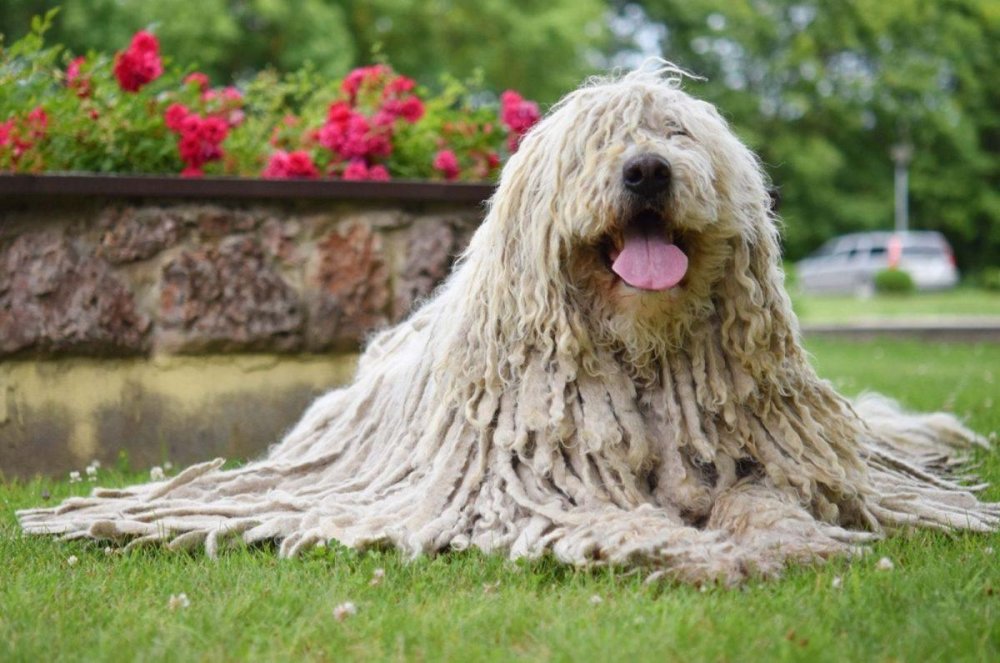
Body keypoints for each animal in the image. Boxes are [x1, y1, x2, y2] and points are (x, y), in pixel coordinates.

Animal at [19, 65, 996, 584]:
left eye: (677, 133)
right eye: (596, 148)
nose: (646, 169)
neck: (641, 352)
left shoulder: (751, 455)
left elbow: (765, 495)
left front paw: (783, 538)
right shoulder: (534, 487)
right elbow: (622, 520)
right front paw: (695, 550)